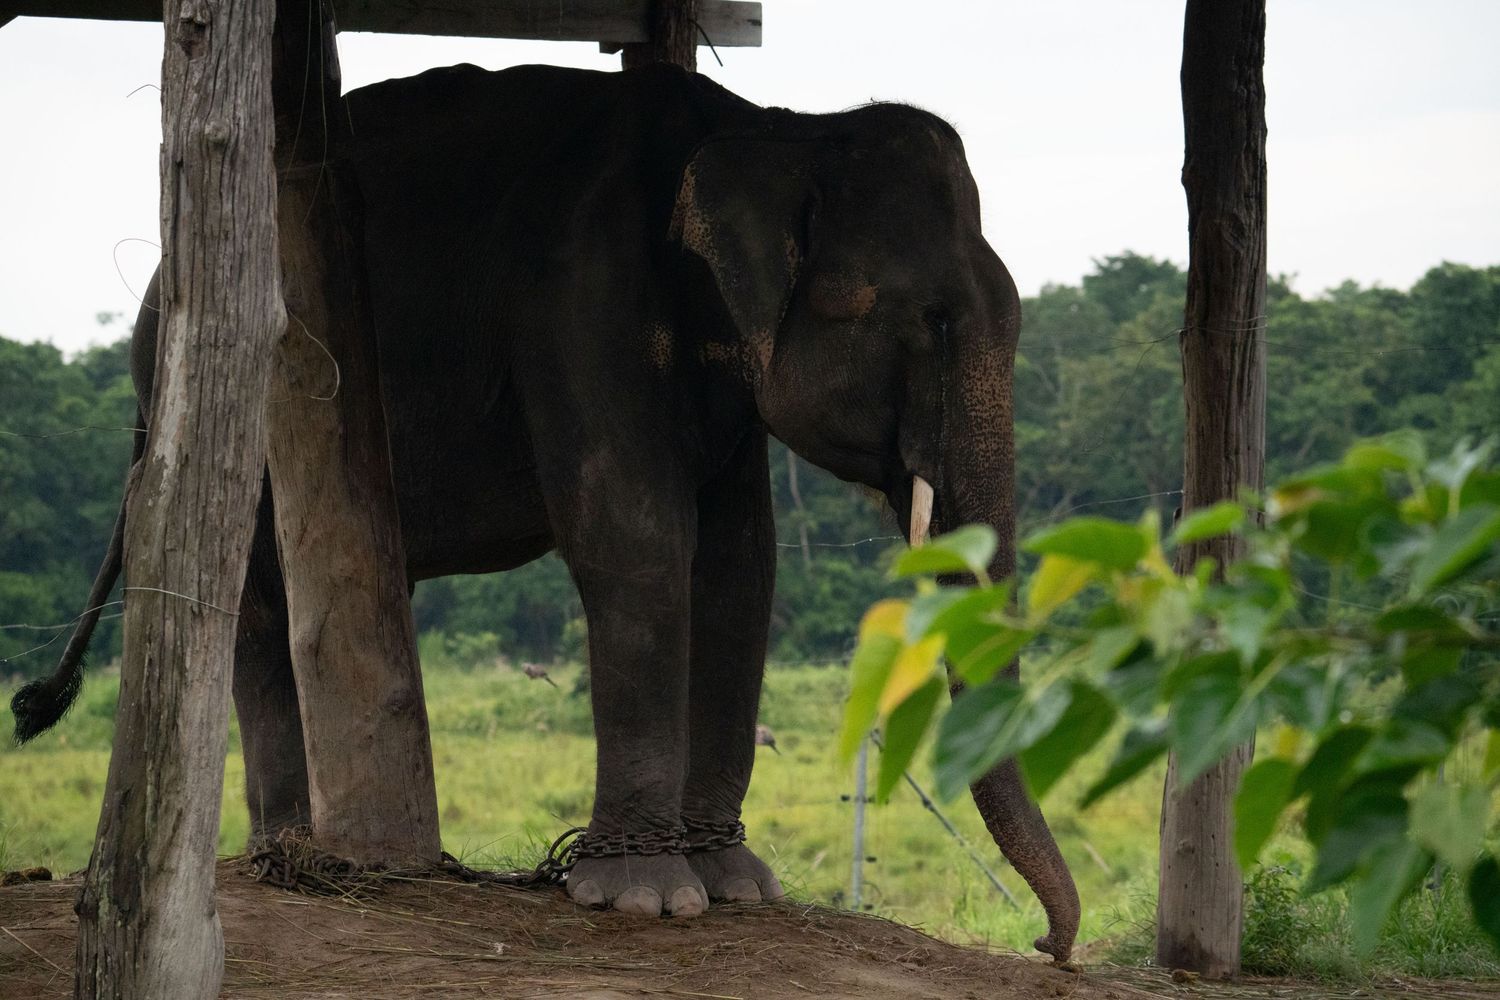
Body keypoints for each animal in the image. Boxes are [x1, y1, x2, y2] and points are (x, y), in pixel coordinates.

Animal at [12, 62, 1079, 960]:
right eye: (931, 319)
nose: (1049, 946)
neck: (776, 126)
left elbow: (741, 563)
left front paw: (736, 887)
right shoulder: (579, 302)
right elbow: (637, 537)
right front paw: (648, 900)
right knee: (260, 596)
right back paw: (295, 852)